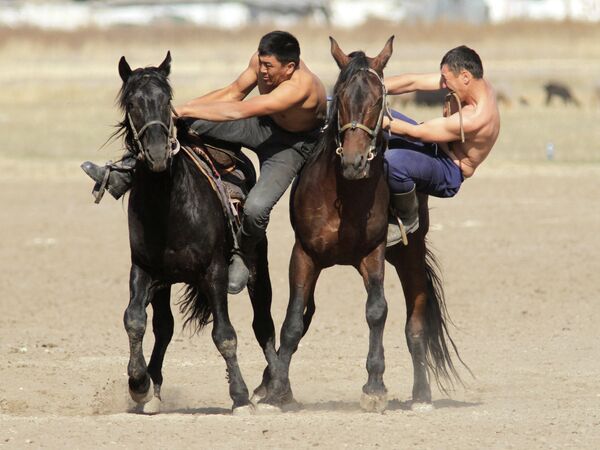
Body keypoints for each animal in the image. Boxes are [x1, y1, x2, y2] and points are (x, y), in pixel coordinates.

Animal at [113, 52, 276, 414]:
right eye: (132, 103)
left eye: (167, 99)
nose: (158, 153)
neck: (169, 207)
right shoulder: (144, 270)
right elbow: (136, 320)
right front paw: (141, 385)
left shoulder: (213, 273)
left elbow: (225, 335)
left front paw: (240, 397)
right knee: (164, 328)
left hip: (257, 267)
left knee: (263, 323)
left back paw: (275, 386)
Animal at [255, 37, 466, 414]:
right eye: (339, 97)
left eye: (377, 100)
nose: (354, 162)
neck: (345, 196)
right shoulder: (304, 254)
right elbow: (293, 320)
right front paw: (277, 390)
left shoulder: (373, 254)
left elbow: (377, 312)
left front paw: (375, 386)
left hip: (408, 255)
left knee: (415, 323)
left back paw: (421, 394)